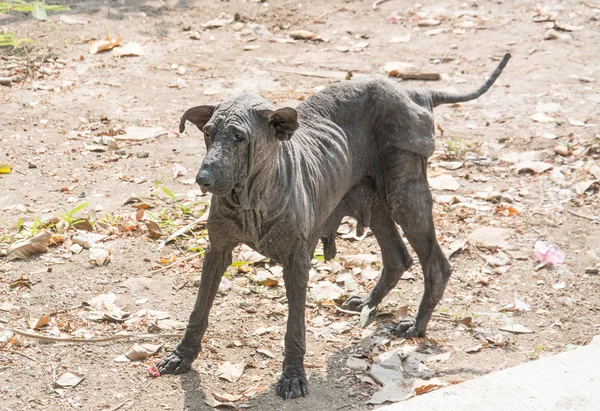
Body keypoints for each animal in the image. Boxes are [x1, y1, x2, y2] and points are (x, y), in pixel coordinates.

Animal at [157, 53, 508, 400]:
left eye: (239, 137)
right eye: (208, 133)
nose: (203, 179)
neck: (251, 198)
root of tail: (413, 92)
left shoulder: (296, 262)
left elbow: (294, 327)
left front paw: (293, 376)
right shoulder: (217, 251)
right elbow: (199, 309)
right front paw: (181, 356)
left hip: (404, 193)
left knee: (435, 263)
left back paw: (416, 326)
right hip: (375, 200)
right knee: (398, 257)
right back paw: (368, 304)